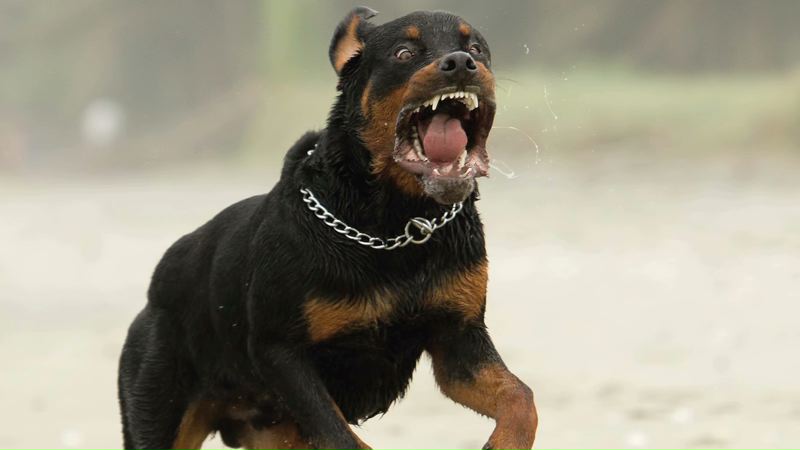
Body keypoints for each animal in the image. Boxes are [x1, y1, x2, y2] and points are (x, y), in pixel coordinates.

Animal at [118, 7, 537, 450]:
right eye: (403, 53)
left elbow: (520, 397)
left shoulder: (458, 342)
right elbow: (340, 435)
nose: (460, 63)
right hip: (159, 399)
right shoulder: (281, 352)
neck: (395, 224)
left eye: (477, 48)